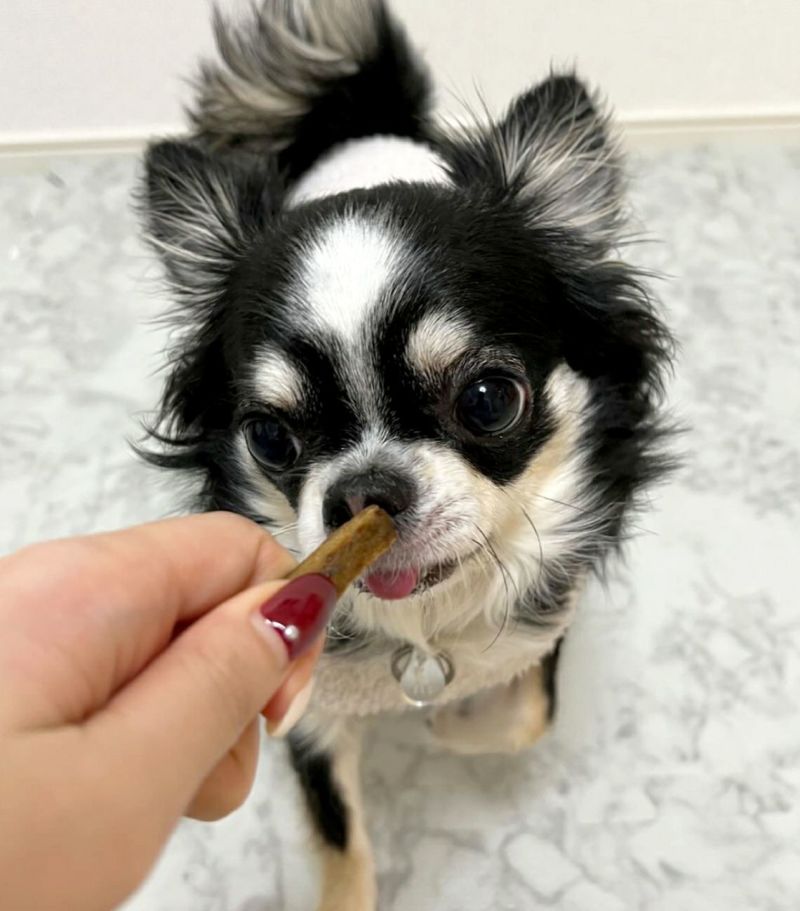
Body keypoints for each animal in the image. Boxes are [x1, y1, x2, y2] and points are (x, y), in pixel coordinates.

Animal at [139, 1, 674, 907]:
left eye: (490, 400)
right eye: (270, 436)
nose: (363, 491)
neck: (421, 629)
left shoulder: (543, 626)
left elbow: (515, 714)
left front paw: (447, 717)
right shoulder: (306, 701)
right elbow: (336, 845)